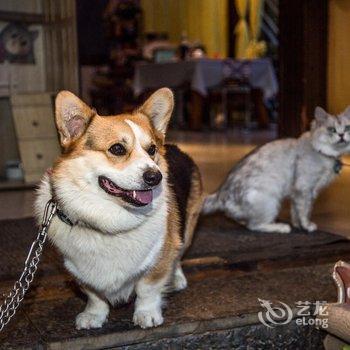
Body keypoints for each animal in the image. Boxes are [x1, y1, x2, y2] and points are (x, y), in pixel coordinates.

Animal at [34, 87, 204, 328]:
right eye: (117, 149)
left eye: (151, 149)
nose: (155, 177)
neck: (110, 219)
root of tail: (174, 146)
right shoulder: (77, 269)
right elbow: (94, 295)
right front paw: (94, 315)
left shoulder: (158, 261)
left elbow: (147, 289)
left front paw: (146, 314)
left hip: (188, 226)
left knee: (179, 252)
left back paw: (177, 278)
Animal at [202, 106, 350, 232]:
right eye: (332, 129)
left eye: (347, 128)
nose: (342, 135)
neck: (322, 152)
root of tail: (221, 194)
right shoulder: (304, 189)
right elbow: (304, 211)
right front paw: (307, 226)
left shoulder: (299, 193)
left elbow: (295, 211)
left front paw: (298, 225)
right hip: (270, 201)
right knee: (254, 226)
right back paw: (280, 227)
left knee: (242, 221)